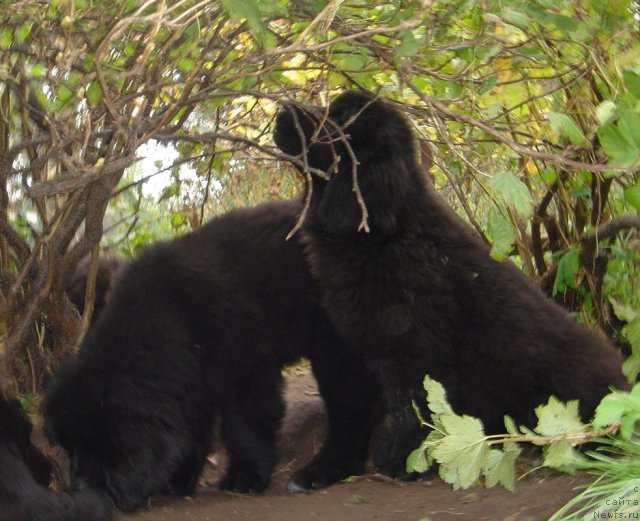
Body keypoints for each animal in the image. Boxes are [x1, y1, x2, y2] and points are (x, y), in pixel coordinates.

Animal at [43, 200, 380, 512]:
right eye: (69, 450)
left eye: (98, 448)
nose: (77, 488)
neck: (167, 318)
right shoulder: (193, 378)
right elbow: (191, 429)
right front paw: (180, 477)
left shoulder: (245, 370)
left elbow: (244, 426)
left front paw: (244, 477)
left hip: (334, 341)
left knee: (350, 404)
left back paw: (324, 470)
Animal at [272, 89, 628, 484]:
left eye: (337, 120)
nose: (282, 108)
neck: (387, 235)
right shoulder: (363, 348)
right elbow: (355, 411)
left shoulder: (413, 352)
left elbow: (412, 408)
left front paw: (405, 462)